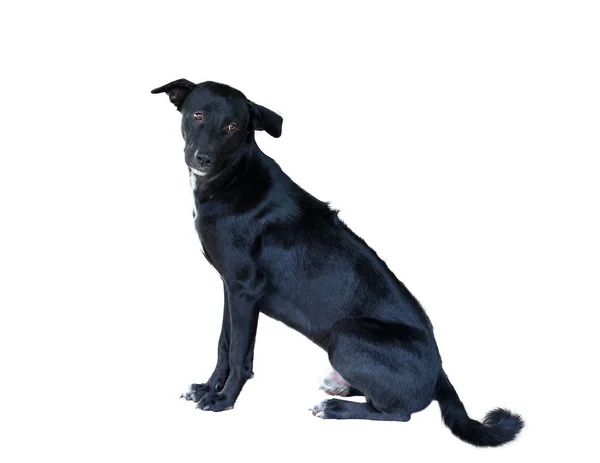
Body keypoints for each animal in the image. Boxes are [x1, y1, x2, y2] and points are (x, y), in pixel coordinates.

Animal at [152, 79, 524, 446]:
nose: (203, 158)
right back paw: (341, 387)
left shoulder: (244, 289)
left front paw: (224, 400)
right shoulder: (231, 288)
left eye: (232, 127)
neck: (234, 178)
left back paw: (334, 408)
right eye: (198, 115)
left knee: (397, 412)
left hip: (345, 333)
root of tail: (440, 371)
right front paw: (208, 387)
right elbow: (225, 344)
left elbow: (237, 353)